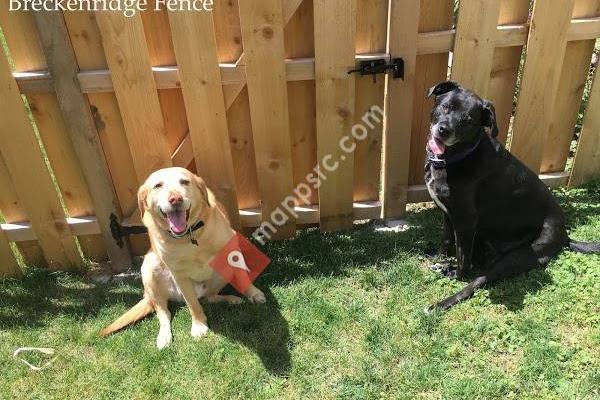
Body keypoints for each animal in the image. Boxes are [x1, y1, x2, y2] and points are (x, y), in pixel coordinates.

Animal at [102, 167, 266, 348]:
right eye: (158, 185)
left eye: (185, 182)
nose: (175, 199)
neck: (189, 235)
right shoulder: (179, 275)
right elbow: (192, 305)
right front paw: (199, 324)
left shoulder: (232, 250)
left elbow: (243, 277)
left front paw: (253, 294)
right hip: (149, 269)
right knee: (164, 313)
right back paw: (164, 337)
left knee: (210, 298)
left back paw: (231, 299)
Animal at [424, 81, 596, 310]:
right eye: (446, 107)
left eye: (468, 120)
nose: (444, 130)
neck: (457, 157)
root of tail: (564, 236)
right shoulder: (448, 215)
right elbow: (446, 240)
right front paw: (439, 257)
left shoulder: (465, 221)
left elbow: (463, 260)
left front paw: (454, 272)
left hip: (516, 257)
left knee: (476, 279)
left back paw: (440, 302)